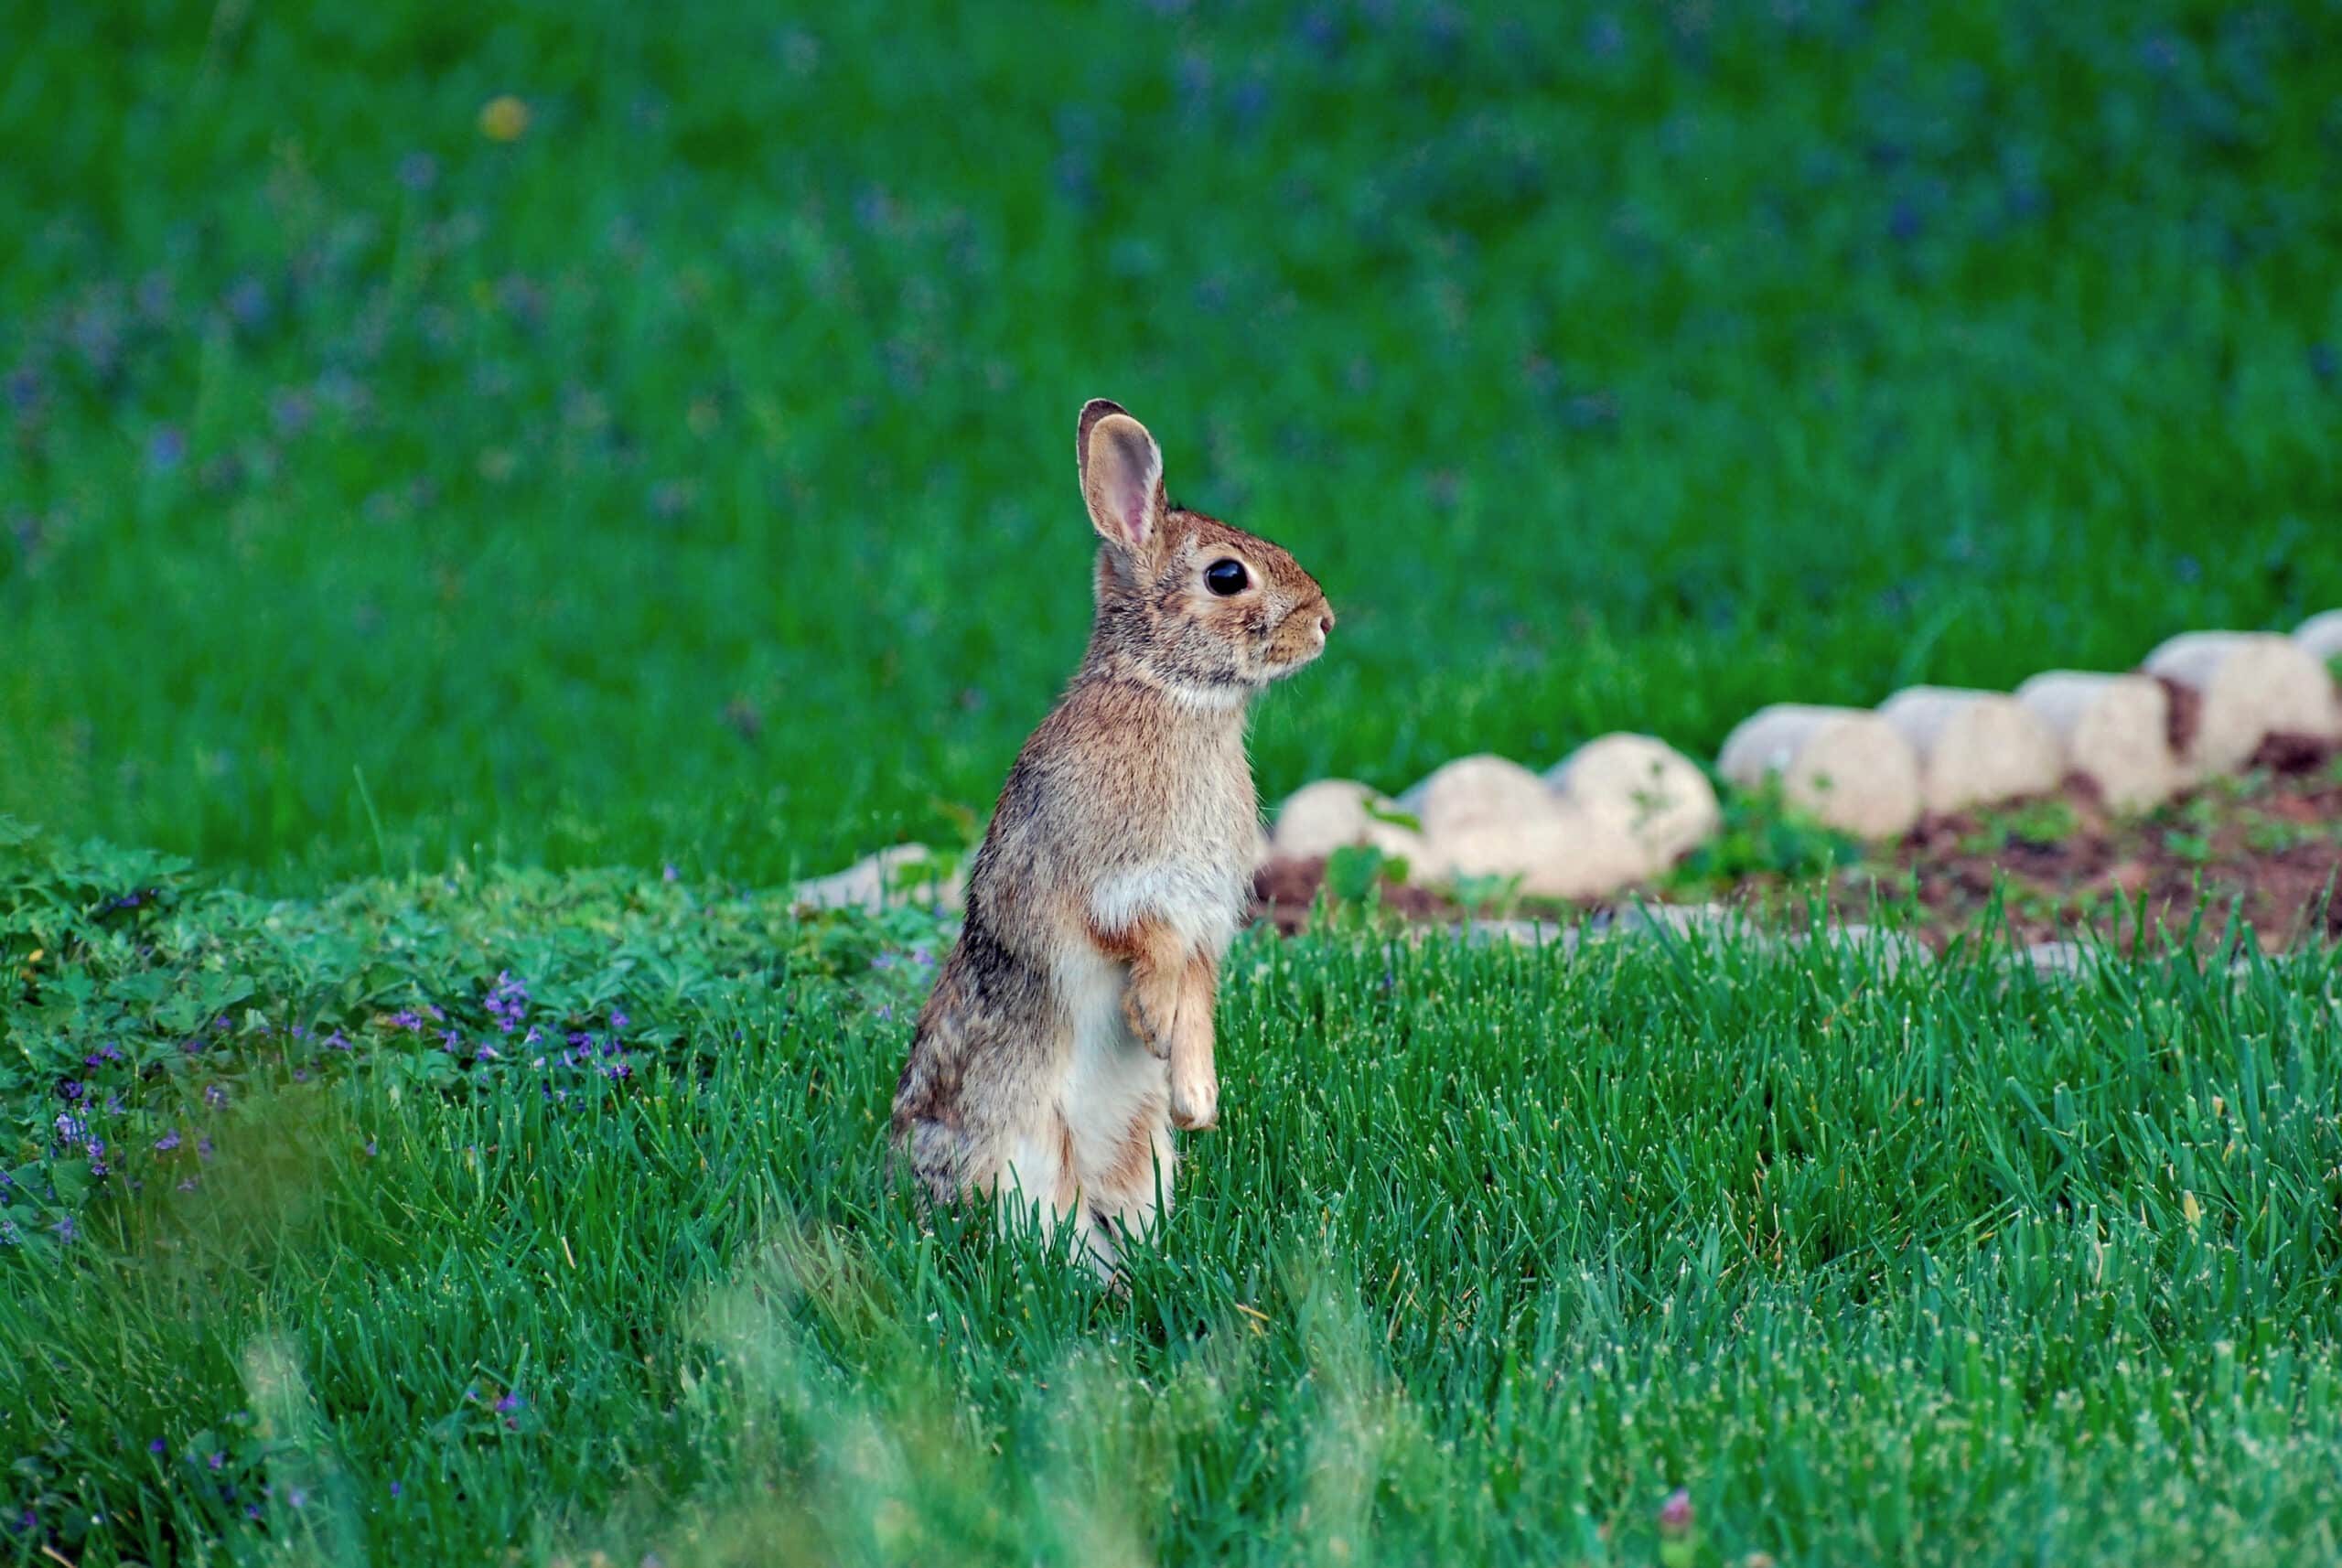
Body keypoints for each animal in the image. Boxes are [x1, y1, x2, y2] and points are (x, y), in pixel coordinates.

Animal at [894, 400, 1339, 1282]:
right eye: (1227, 576)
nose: (1324, 624)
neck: (1167, 693)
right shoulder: (1109, 889)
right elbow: (1145, 952)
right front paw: (1153, 1024)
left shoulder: (1203, 919)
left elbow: (1198, 994)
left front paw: (1196, 1098)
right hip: (1016, 1159)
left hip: (1139, 1160)